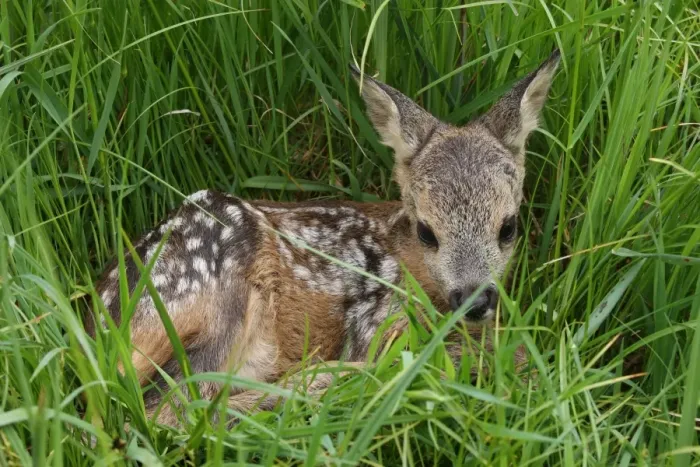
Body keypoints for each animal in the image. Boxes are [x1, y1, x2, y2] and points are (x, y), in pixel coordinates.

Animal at [85, 50, 561, 428]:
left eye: (508, 227)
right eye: (427, 231)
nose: (476, 300)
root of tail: (96, 329)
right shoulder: (374, 320)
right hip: (223, 278)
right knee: (169, 411)